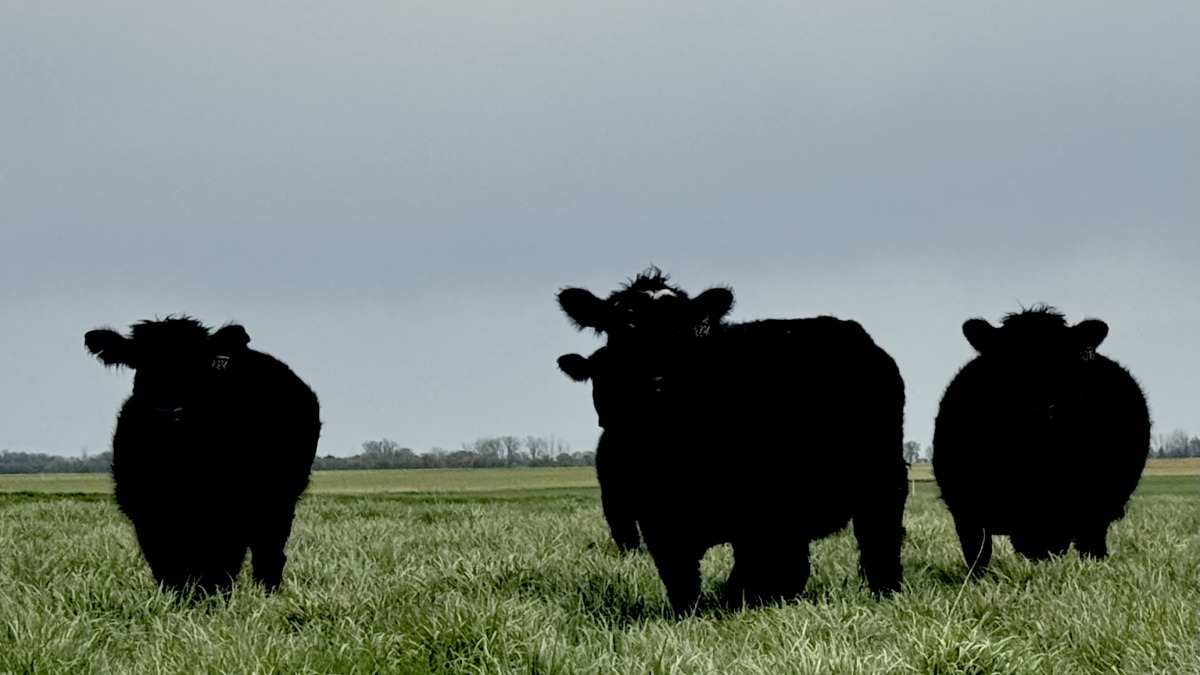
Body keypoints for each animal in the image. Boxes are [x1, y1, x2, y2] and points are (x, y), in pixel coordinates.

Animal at [85, 316, 321, 596]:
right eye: (139, 362)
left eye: (195, 365)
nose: (168, 410)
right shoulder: (147, 514)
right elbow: (168, 568)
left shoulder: (230, 512)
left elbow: (219, 568)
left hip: (279, 501)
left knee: (269, 553)